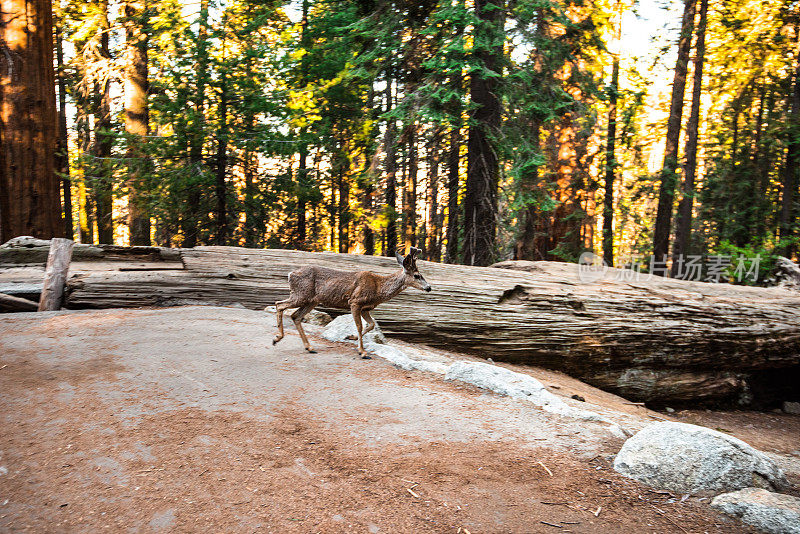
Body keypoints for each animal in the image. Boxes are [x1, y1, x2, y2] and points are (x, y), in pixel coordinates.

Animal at [270, 248, 432, 360]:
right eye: (417, 275)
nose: (429, 287)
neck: (378, 288)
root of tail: (290, 274)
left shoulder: (366, 308)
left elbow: (371, 325)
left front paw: (350, 337)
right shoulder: (355, 302)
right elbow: (360, 326)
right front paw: (362, 352)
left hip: (311, 300)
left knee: (295, 316)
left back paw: (309, 347)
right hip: (301, 295)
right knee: (279, 304)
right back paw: (277, 338)